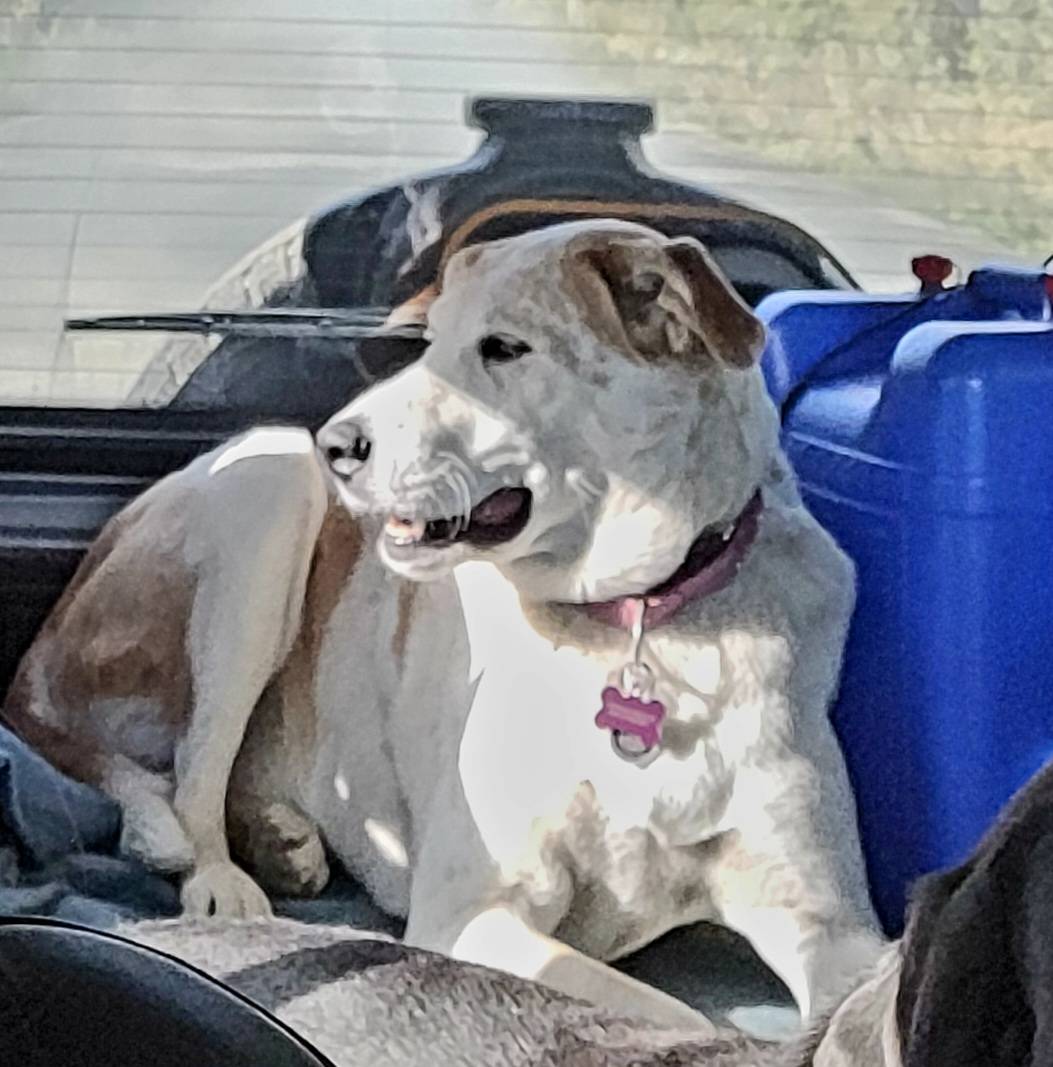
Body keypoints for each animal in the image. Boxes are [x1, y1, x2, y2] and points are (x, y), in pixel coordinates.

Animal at [3, 219, 883, 1027]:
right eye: (428, 344)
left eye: (504, 348)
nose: (339, 443)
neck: (636, 623)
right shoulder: (474, 911)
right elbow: (681, 1017)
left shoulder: (832, 927)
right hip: (269, 484)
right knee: (192, 778)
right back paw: (224, 880)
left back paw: (282, 840)